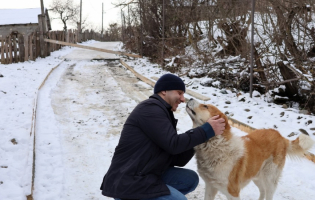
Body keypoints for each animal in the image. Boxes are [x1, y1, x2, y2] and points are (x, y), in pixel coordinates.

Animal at [186, 99, 314, 200]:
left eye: (205, 106)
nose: (190, 98)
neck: (216, 145)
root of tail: (280, 136)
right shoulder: (210, 187)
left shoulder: (233, 193)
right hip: (256, 175)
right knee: (262, 191)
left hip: (269, 178)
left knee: (268, 193)